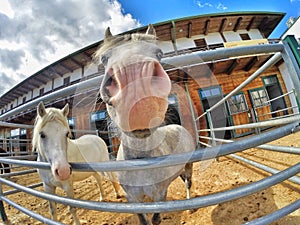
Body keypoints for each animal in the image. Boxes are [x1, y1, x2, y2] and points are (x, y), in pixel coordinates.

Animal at [95, 25, 196, 224]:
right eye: (104, 58)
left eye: (159, 53)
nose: (134, 78)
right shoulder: (133, 199)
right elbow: (143, 219)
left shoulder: (159, 195)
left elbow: (155, 219)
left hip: (188, 166)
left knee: (188, 183)